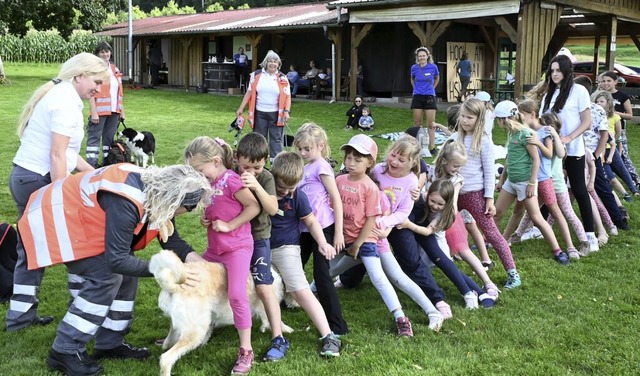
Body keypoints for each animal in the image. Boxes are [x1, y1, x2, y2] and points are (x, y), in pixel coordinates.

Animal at [150, 250, 292, 376]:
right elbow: (276, 319)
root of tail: (173, 284)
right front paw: (287, 329)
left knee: (167, 344)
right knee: (166, 358)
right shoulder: (264, 306)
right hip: (195, 330)